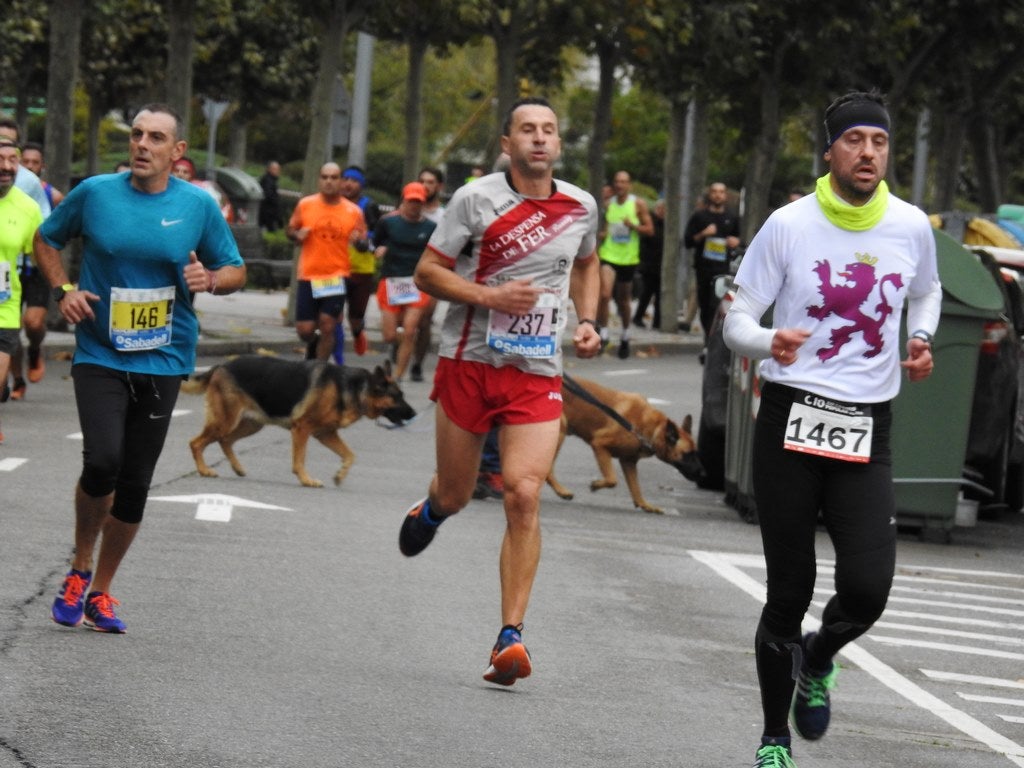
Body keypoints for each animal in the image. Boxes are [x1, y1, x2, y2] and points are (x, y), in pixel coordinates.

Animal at [182, 358, 413, 489]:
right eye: (398, 397)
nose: (414, 413)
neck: (354, 387)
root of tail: (220, 366)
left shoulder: (326, 434)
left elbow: (350, 455)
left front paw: (339, 476)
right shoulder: (302, 429)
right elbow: (299, 460)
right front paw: (306, 480)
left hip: (252, 424)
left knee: (225, 440)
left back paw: (237, 468)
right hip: (225, 421)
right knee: (196, 443)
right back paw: (204, 470)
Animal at [548, 376, 708, 514]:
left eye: (696, 453)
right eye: (687, 455)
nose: (704, 474)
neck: (651, 428)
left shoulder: (628, 462)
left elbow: (636, 488)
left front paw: (645, 505)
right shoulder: (599, 444)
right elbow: (612, 480)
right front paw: (596, 485)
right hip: (559, 435)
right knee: (548, 470)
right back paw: (561, 491)